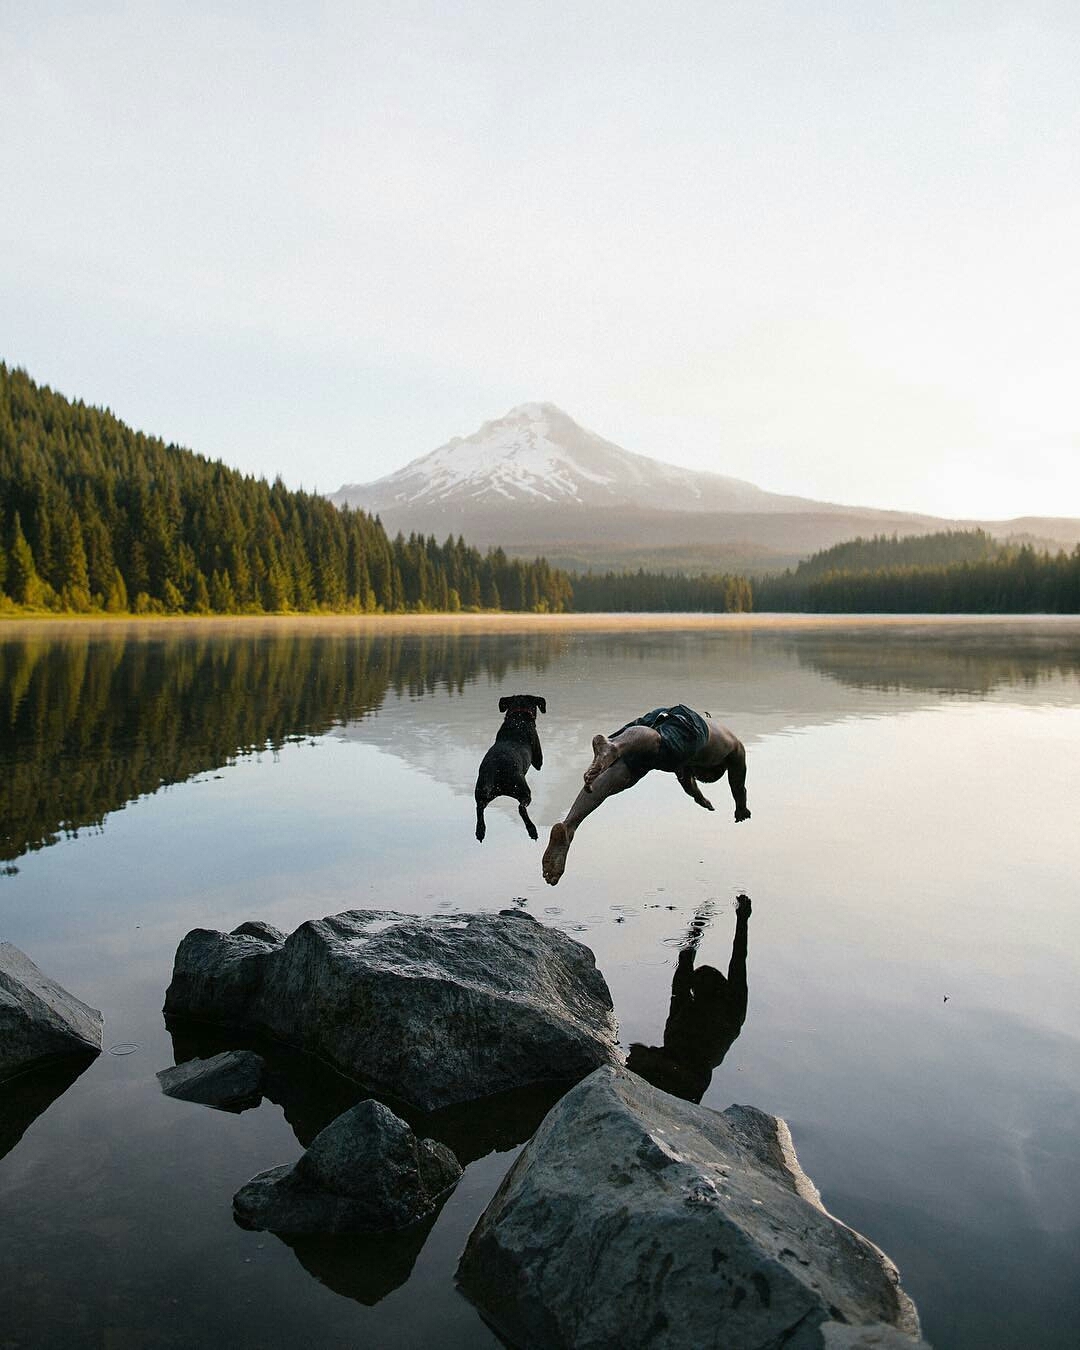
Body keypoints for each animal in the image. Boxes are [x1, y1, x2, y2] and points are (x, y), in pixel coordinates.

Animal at [475, 696, 548, 842]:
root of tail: (497, 771)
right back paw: (532, 830)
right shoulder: (537, 757)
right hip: (524, 791)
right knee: (521, 808)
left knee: (479, 807)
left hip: (483, 791)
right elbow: (539, 763)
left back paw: (480, 830)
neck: (518, 717)